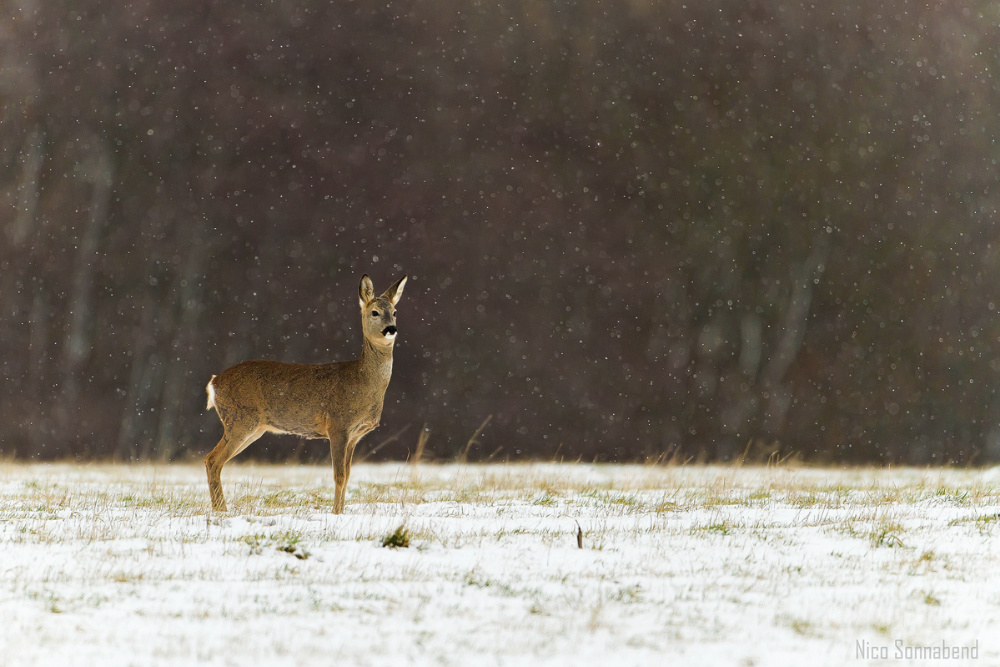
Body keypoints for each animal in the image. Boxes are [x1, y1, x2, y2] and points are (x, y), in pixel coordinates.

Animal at [205, 274, 408, 516]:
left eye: (395, 311)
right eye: (374, 312)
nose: (391, 329)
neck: (363, 381)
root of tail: (214, 382)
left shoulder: (355, 435)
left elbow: (348, 475)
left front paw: (340, 511)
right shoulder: (338, 425)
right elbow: (339, 476)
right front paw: (336, 514)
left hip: (254, 428)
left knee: (214, 460)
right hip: (239, 419)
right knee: (212, 459)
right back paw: (221, 511)